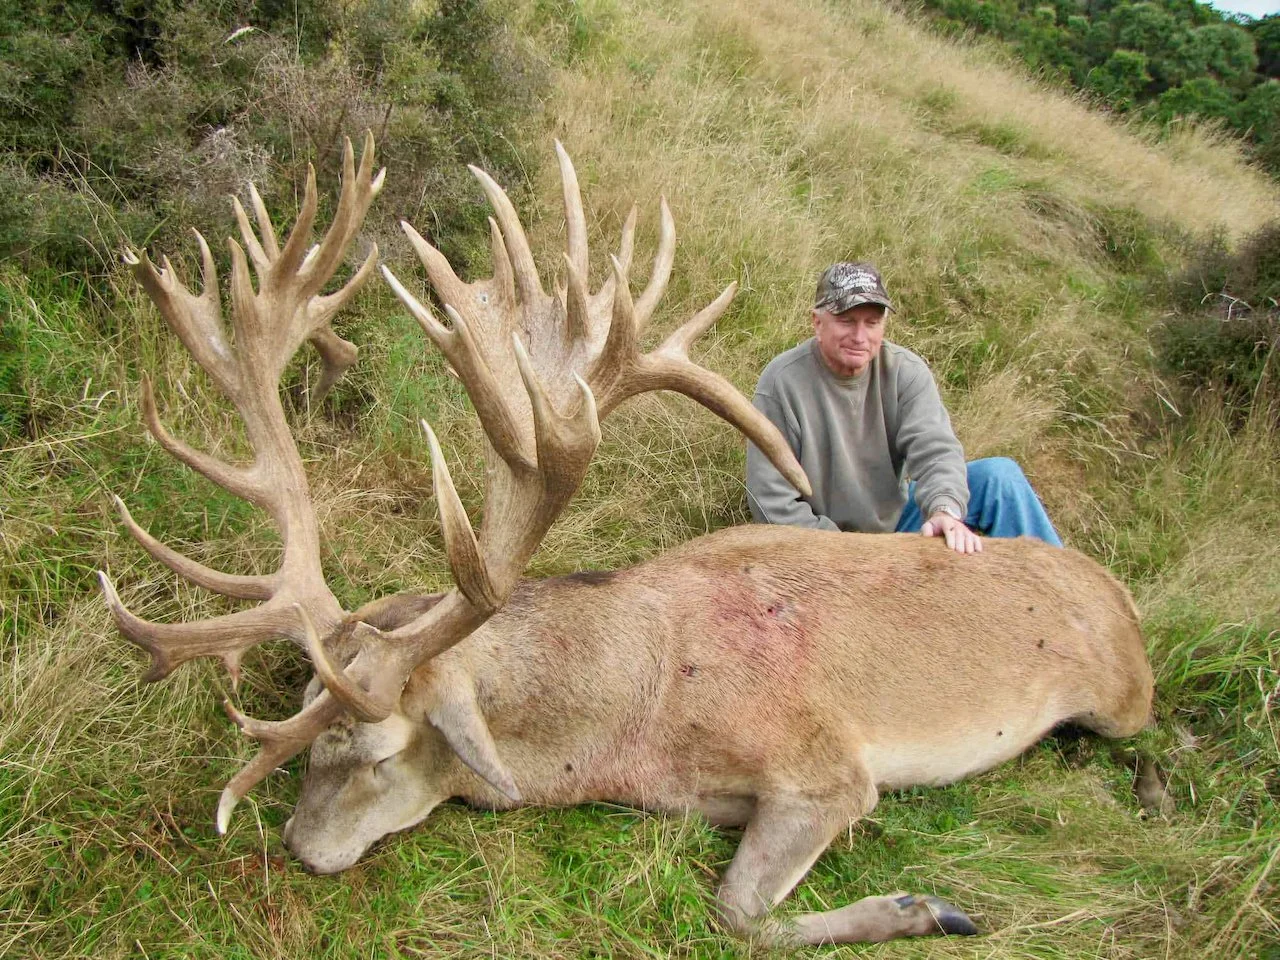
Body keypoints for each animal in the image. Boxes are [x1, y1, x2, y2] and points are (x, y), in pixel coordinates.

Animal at [100, 133, 1155, 946]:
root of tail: (1116, 592)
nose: (300, 847)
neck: (638, 715)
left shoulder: (830, 767)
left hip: (1120, 699)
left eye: (381, 753)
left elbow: (738, 915)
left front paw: (927, 908)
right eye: (304, 720)